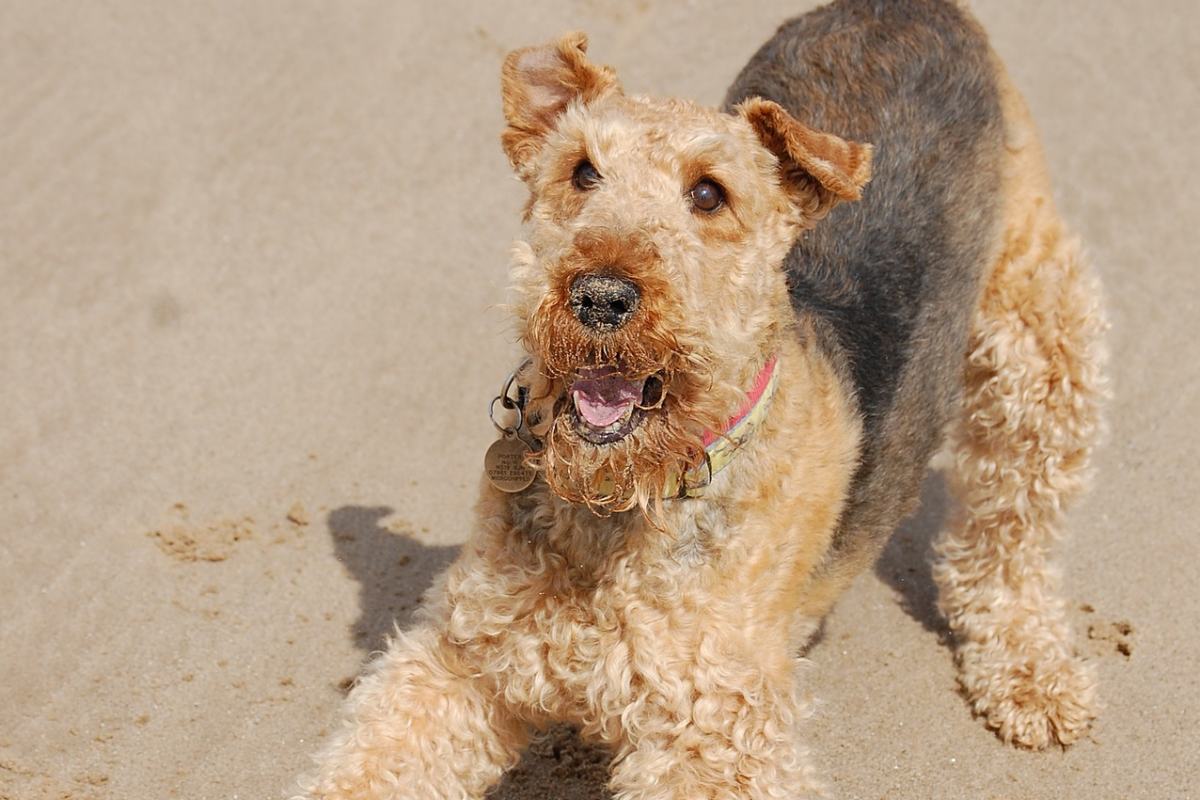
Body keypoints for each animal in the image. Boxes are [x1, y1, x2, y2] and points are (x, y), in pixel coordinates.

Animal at [297, 3, 1104, 796]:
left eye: (709, 193)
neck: (626, 502)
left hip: (1039, 333)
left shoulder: (713, 732)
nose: (599, 296)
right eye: (581, 171)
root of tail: (908, 9)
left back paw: (1034, 682)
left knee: (1012, 534)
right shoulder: (460, 660)